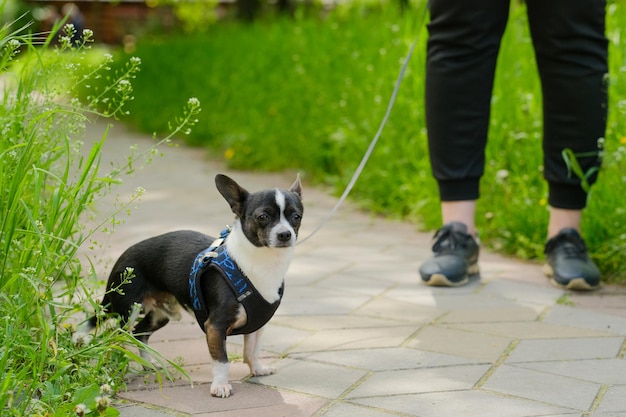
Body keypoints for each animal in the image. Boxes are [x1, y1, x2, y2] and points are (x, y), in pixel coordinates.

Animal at [80, 172, 302, 396]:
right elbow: (222, 360)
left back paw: (148, 364)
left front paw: (257, 369)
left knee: (139, 334)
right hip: (127, 313)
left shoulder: (257, 325)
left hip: (160, 315)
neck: (263, 263)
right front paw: (220, 385)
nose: (285, 234)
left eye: (296, 217)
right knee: (117, 340)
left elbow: (252, 351)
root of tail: (121, 258)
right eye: (262, 217)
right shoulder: (215, 327)